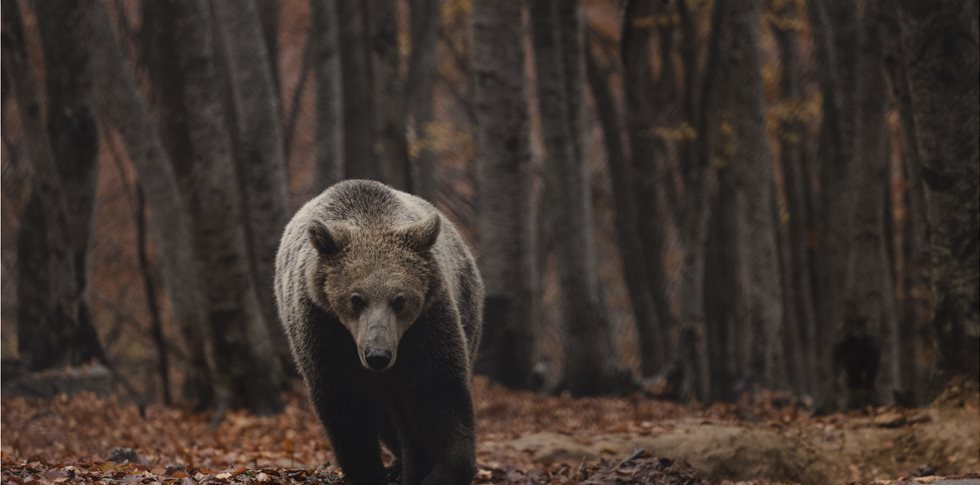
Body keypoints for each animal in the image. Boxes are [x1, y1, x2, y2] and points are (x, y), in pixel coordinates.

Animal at [274, 180, 484, 482]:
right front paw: (368, 472)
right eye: (355, 299)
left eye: (400, 300)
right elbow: (345, 405)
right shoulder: (323, 327)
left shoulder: (426, 324)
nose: (378, 356)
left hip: (467, 306)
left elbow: (439, 392)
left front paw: (438, 471)